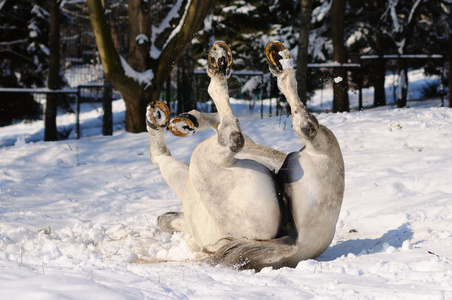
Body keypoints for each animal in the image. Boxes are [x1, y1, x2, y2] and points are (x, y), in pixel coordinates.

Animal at [147, 41, 344, 270]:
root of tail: (294, 244)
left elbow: (160, 156)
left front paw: (162, 119)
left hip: (203, 159)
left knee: (240, 136)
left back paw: (227, 69)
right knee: (300, 127)